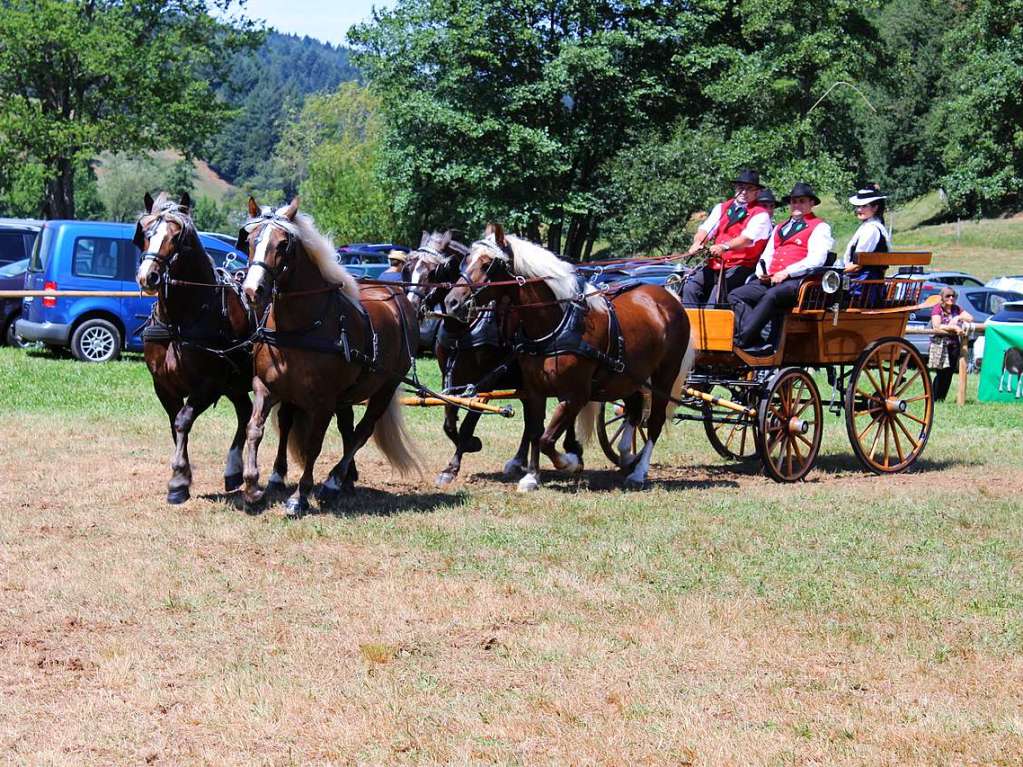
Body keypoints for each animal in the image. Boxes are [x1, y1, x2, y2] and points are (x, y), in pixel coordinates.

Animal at [134, 192, 255, 505]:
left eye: (178, 237)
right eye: (145, 233)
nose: (148, 276)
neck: (180, 320)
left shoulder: (209, 384)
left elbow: (183, 421)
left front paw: (178, 480)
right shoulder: (163, 386)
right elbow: (174, 425)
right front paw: (182, 479)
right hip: (236, 383)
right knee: (245, 411)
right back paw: (234, 470)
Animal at [236, 196, 419, 517]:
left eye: (283, 244)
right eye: (249, 240)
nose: (252, 290)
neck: (302, 325)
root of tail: (398, 298)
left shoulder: (322, 402)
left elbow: (314, 444)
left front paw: (299, 496)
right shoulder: (266, 386)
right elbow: (255, 429)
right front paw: (252, 486)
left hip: (385, 387)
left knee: (362, 430)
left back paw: (334, 481)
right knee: (342, 427)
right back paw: (343, 479)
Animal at [448, 227, 695, 492]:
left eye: (487, 265)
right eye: (465, 260)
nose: (452, 302)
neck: (558, 323)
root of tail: (669, 296)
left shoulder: (576, 395)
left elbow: (547, 439)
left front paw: (570, 461)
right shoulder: (535, 391)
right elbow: (535, 432)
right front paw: (532, 476)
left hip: (664, 376)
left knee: (655, 420)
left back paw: (639, 471)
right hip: (629, 377)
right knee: (635, 408)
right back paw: (627, 454)